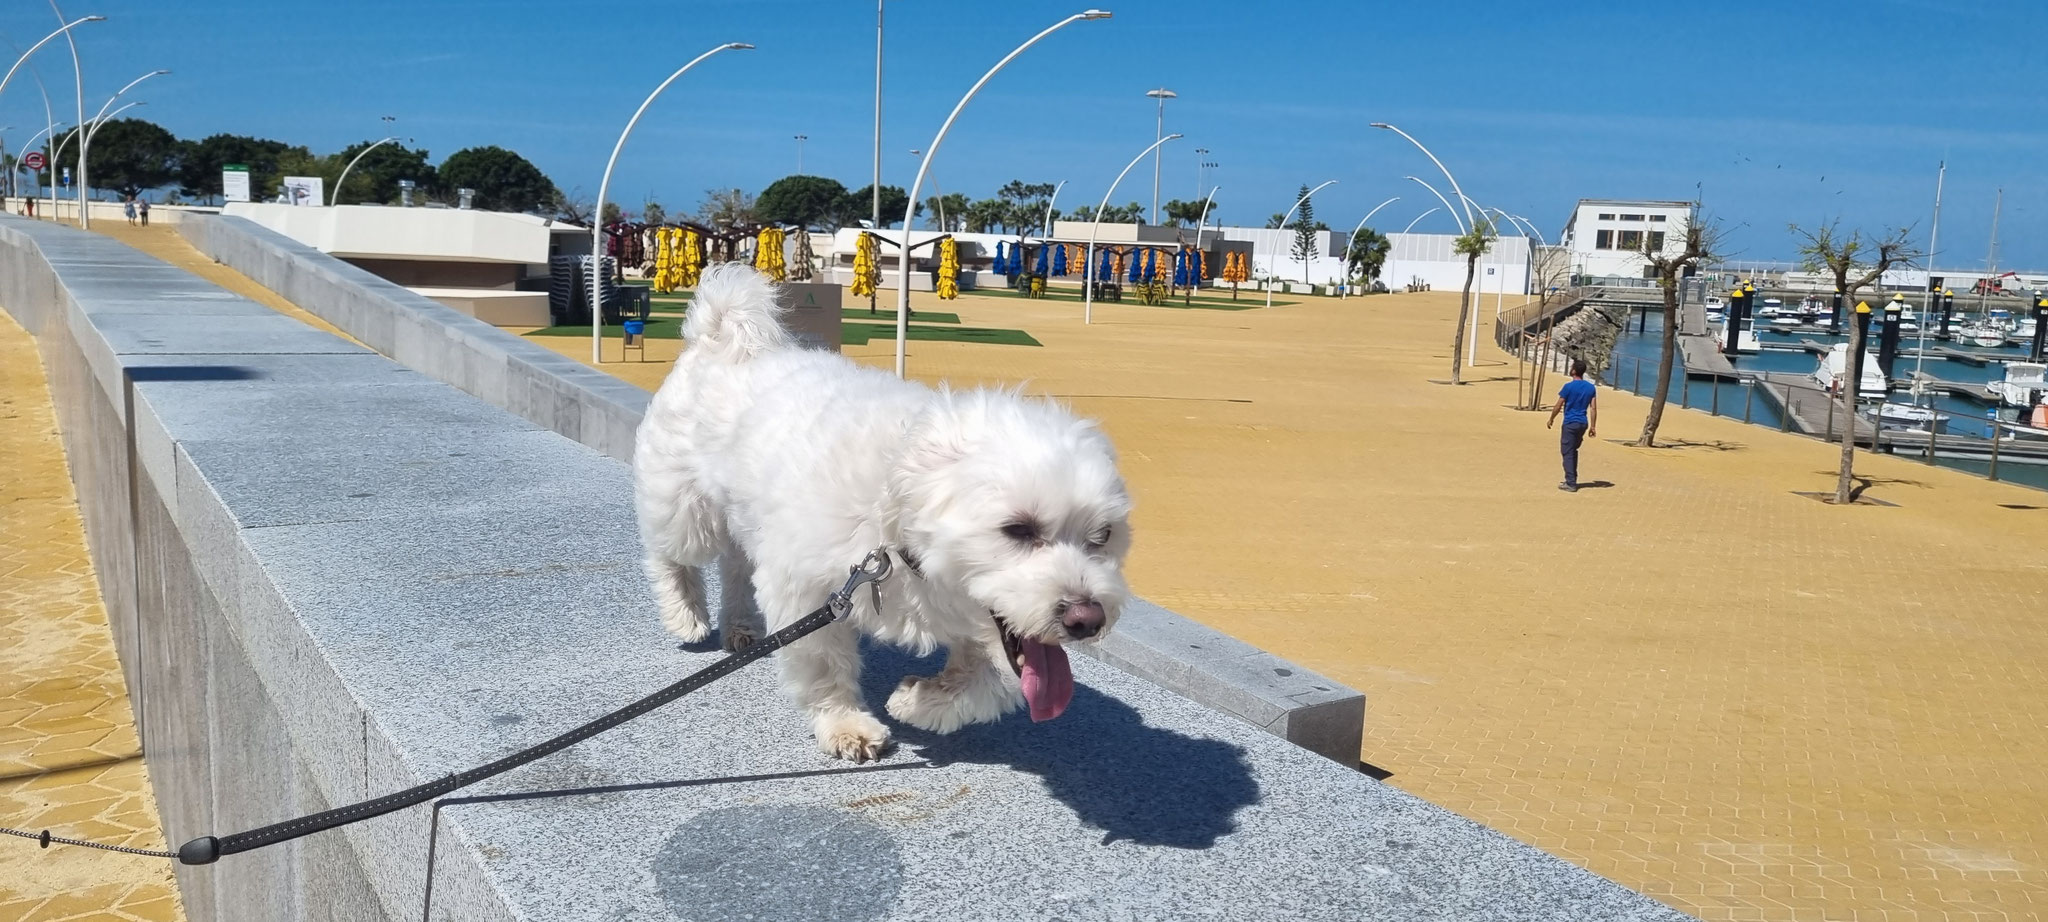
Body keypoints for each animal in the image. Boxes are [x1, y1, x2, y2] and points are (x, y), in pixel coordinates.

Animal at [630, 262, 1130, 758]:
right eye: (1018, 530)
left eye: (1103, 536)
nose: (1087, 618)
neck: (899, 540)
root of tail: (719, 335)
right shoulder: (805, 591)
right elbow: (824, 665)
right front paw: (845, 724)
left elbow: (990, 683)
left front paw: (920, 702)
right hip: (686, 509)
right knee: (669, 555)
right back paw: (685, 614)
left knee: (735, 566)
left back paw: (741, 626)